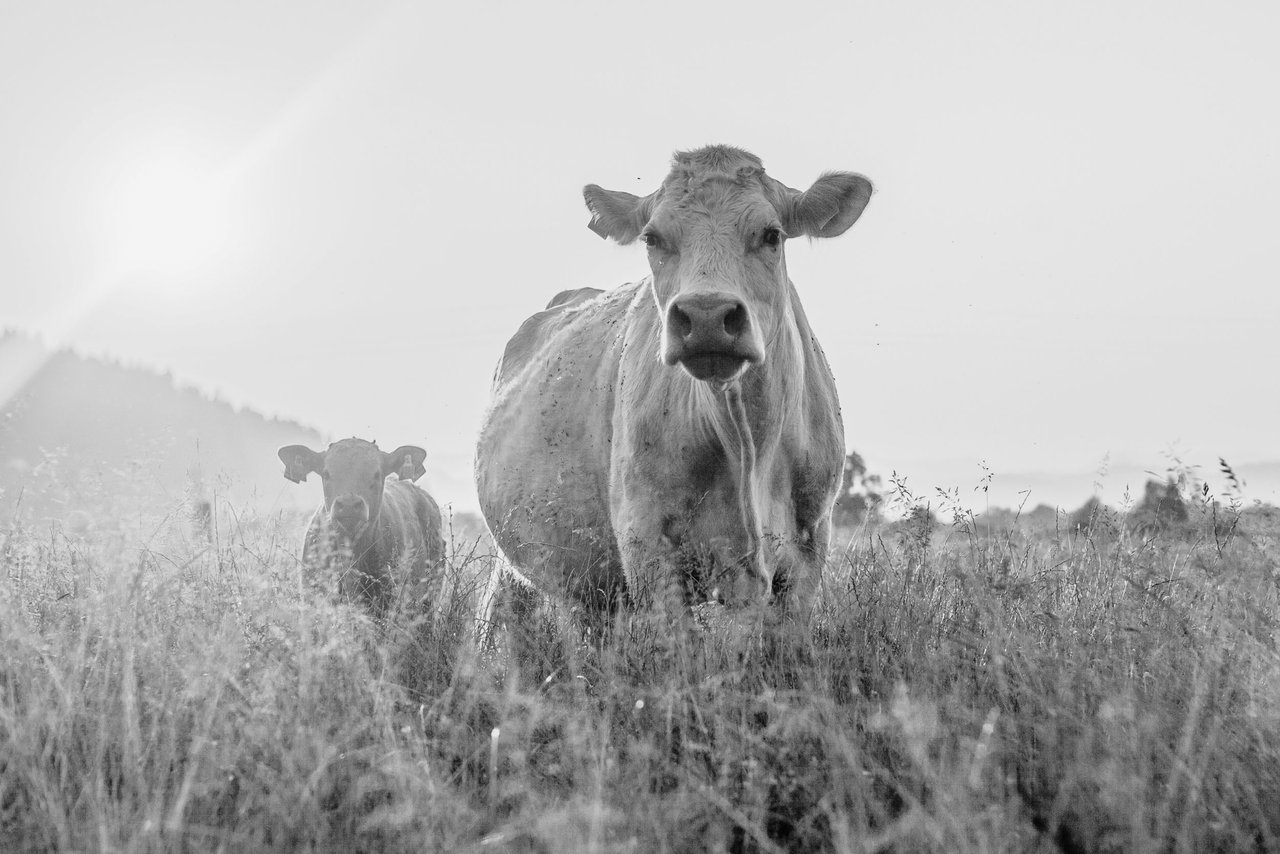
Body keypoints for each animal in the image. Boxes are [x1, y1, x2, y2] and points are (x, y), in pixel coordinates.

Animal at [476, 143, 875, 617]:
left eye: (771, 234)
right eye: (652, 238)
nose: (707, 315)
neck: (749, 446)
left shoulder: (805, 554)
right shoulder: (648, 547)